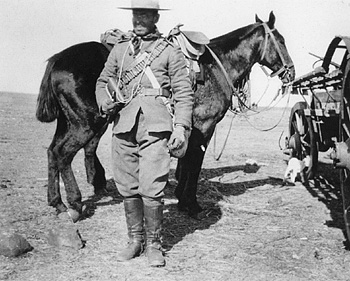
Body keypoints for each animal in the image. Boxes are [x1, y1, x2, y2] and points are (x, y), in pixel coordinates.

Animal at [36, 12, 296, 220]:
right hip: (85, 124)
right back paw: (75, 202)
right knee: (63, 154)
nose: (291, 73)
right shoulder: (204, 127)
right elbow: (193, 165)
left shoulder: (189, 129)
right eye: (281, 40)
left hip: (69, 122)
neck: (216, 67)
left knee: (52, 151)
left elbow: (186, 162)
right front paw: (191, 204)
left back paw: (57, 203)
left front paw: (182, 197)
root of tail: (57, 60)